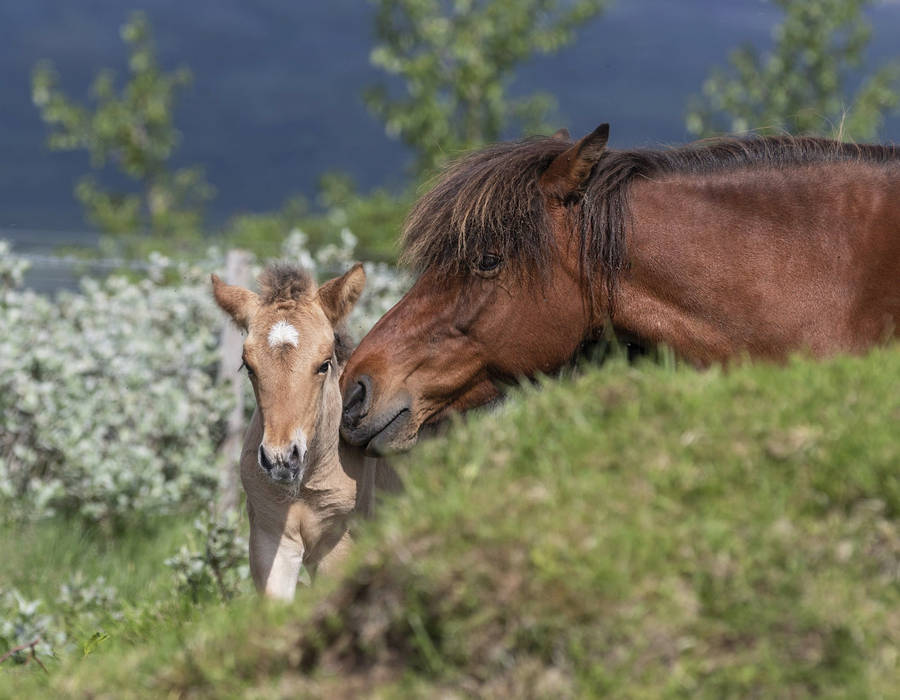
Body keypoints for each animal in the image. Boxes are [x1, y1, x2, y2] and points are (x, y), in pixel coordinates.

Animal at [212, 262, 372, 600]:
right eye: (248, 366)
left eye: (324, 364)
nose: (281, 459)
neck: (304, 488)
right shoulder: (271, 539)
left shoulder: (338, 546)